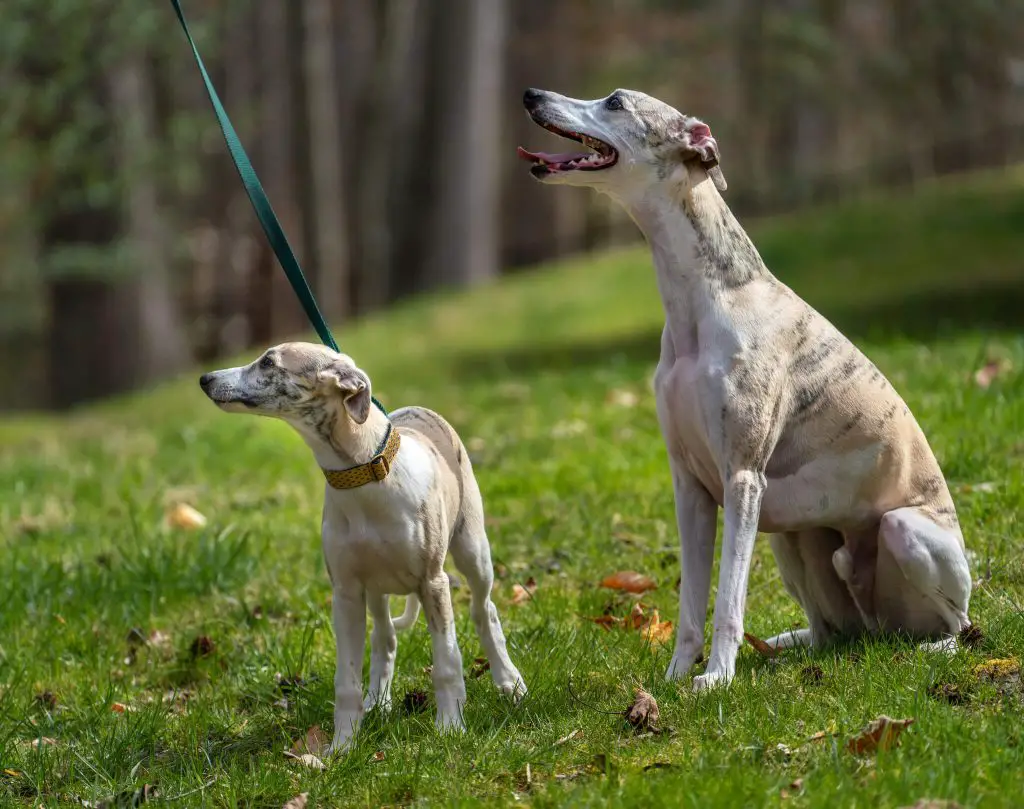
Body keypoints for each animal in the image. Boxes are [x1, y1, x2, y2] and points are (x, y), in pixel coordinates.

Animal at [197, 342, 528, 753]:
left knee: (485, 611)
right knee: (384, 637)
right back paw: (379, 702)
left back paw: (509, 682)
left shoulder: (433, 582)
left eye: (268, 362)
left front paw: (450, 727)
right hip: (377, 588)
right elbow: (346, 680)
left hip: (472, 551)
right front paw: (342, 746)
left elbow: (447, 662)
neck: (363, 475)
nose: (205, 379)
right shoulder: (346, 593)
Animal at [516, 90, 970, 696]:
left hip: (901, 531)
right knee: (830, 632)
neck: (709, 298)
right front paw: (677, 675)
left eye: (614, 102)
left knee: (958, 624)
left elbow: (728, 599)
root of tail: (885, 631)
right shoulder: (689, 483)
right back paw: (787, 647)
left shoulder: (742, 479)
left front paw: (716, 678)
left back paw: (935, 647)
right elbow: (690, 602)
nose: (532, 96)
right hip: (792, 541)